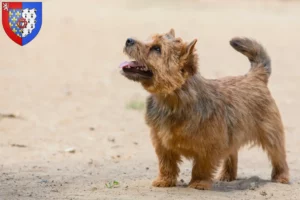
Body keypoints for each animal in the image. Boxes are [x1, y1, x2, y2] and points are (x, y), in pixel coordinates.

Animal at [119, 28, 288, 190]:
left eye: (157, 48)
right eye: (149, 39)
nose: (128, 40)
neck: (171, 100)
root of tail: (255, 76)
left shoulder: (209, 146)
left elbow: (202, 166)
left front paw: (199, 183)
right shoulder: (162, 143)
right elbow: (166, 164)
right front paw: (164, 180)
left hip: (271, 135)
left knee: (278, 156)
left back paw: (281, 177)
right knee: (232, 154)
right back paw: (227, 175)